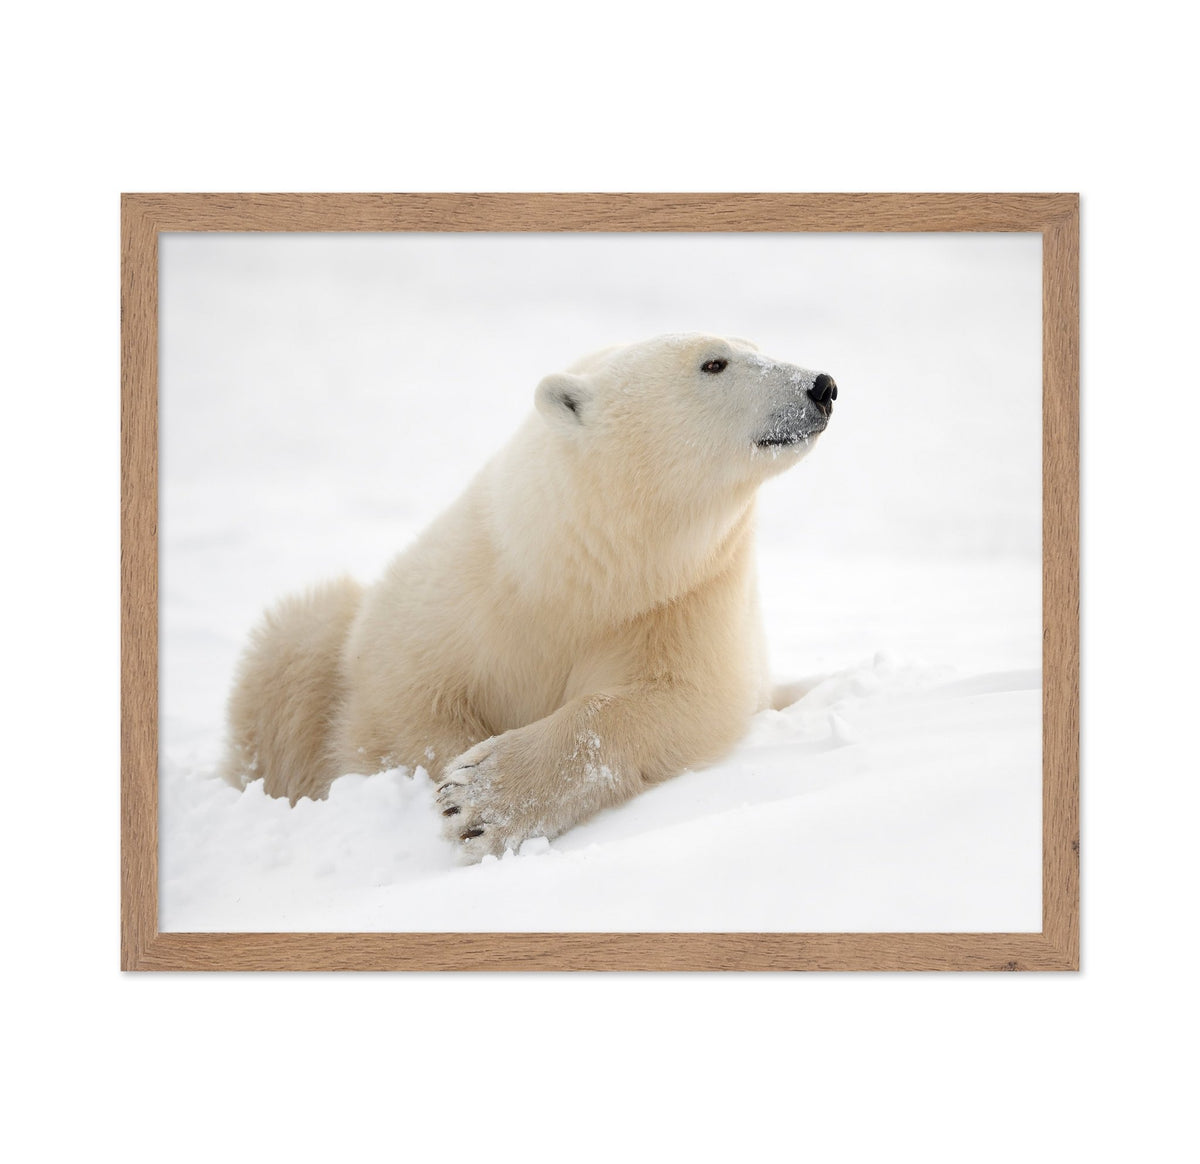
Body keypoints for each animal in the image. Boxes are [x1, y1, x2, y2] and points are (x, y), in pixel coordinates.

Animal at [221, 333, 836, 861]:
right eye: (714, 362)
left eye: (756, 346)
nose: (822, 385)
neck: (585, 569)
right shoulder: (469, 585)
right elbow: (400, 695)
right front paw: (451, 777)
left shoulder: (682, 602)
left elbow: (681, 699)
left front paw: (479, 801)